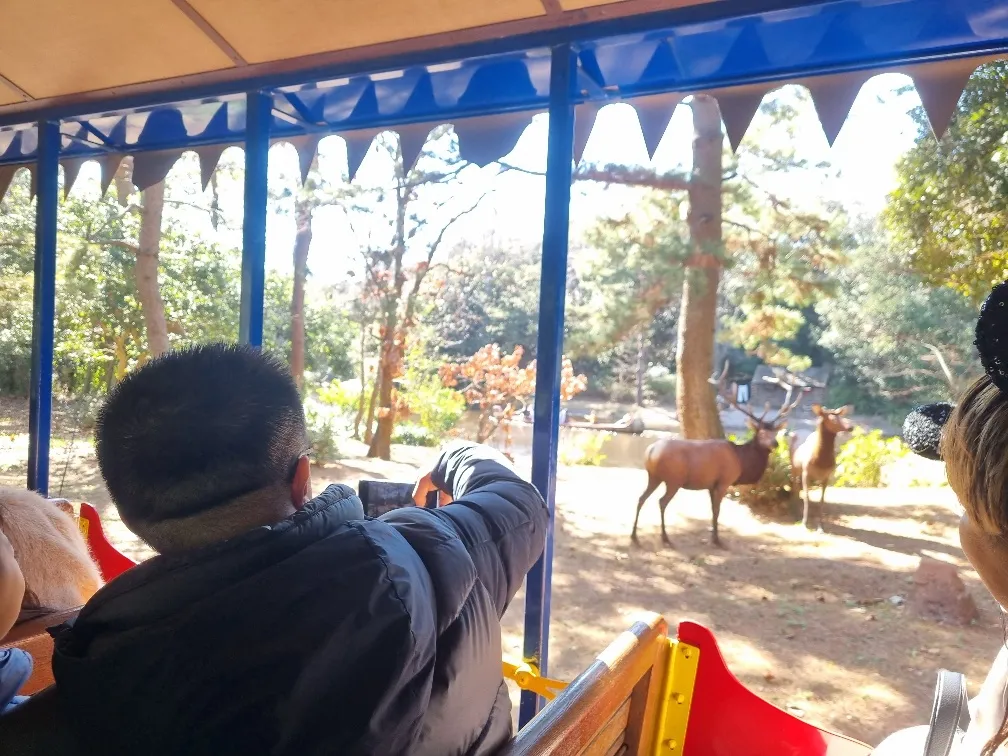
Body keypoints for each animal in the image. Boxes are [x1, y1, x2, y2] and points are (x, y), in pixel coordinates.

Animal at [628, 366, 802, 552]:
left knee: (641, 498)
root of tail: (650, 451)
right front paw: (717, 539)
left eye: (775, 432)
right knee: (661, 502)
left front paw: (712, 536)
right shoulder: (724, 481)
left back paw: (634, 536)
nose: (775, 443)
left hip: (654, 476)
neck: (741, 461)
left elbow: (712, 509)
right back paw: (665, 537)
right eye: (761, 433)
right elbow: (717, 510)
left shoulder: (711, 484)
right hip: (673, 479)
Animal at [790, 403, 854, 532]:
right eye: (832, 419)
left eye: (840, 415)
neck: (820, 461)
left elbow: (822, 500)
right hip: (794, 468)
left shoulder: (826, 476)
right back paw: (796, 514)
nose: (851, 427)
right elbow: (807, 497)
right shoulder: (806, 473)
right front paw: (804, 524)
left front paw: (820, 527)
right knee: (795, 487)